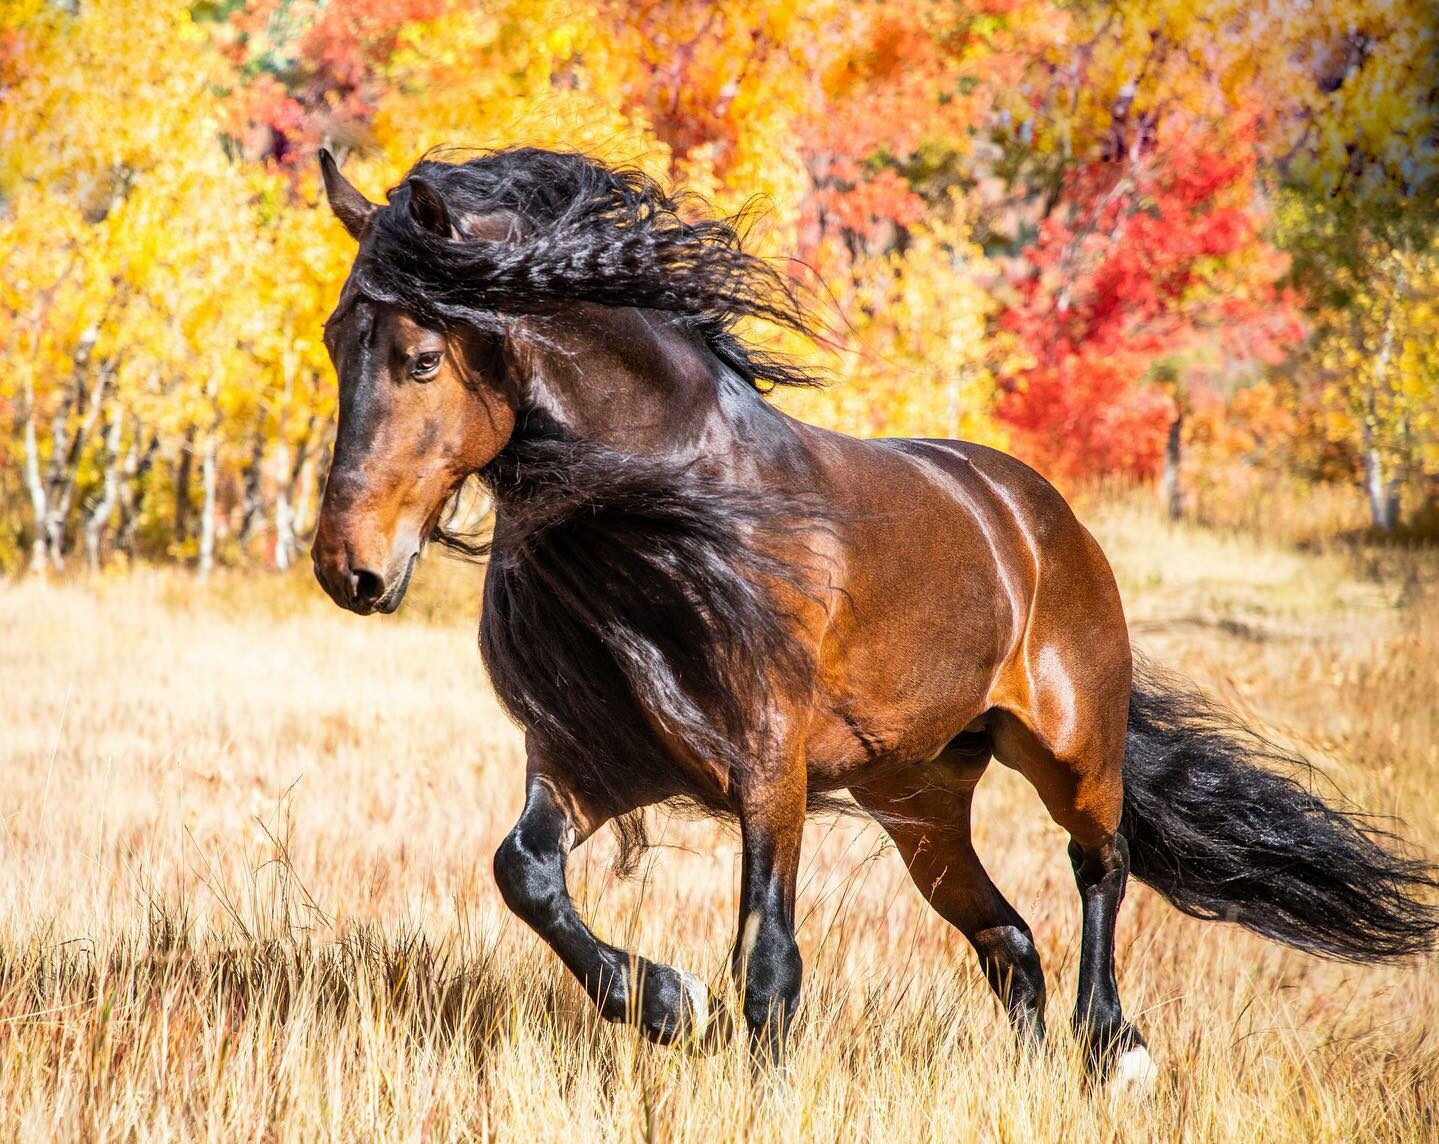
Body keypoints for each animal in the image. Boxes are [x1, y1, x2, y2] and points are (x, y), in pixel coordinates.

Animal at [309, 146, 1438, 1086]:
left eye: (419, 357)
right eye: (332, 341)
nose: (347, 568)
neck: (672, 511)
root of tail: (1038, 516)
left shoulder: (769, 770)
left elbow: (767, 958)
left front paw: (742, 1064)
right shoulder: (592, 760)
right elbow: (526, 873)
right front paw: (668, 1003)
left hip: (1071, 752)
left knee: (1099, 867)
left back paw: (1110, 1050)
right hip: (918, 805)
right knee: (1008, 941)